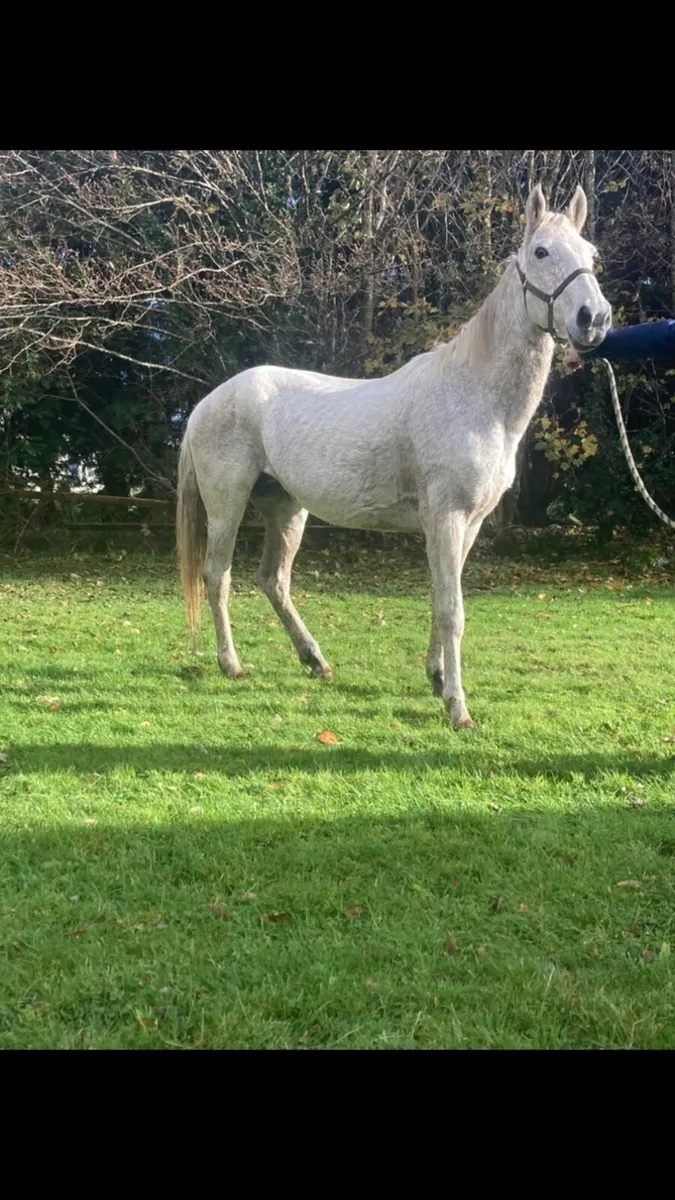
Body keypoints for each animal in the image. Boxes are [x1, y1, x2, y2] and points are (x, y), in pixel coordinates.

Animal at [176, 184, 611, 729]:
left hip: (286, 508)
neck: (475, 397)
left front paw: (438, 679)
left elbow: (440, 598)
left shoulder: (468, 523)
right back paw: (232, 665)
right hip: (227, 506)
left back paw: (315, 660)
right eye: (541, 252)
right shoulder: (446, 518)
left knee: (273, 581)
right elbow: (452, 610)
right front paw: (458, 708)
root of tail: (206, 403)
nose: (594, 319)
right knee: (218, 576)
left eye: (591, 255)